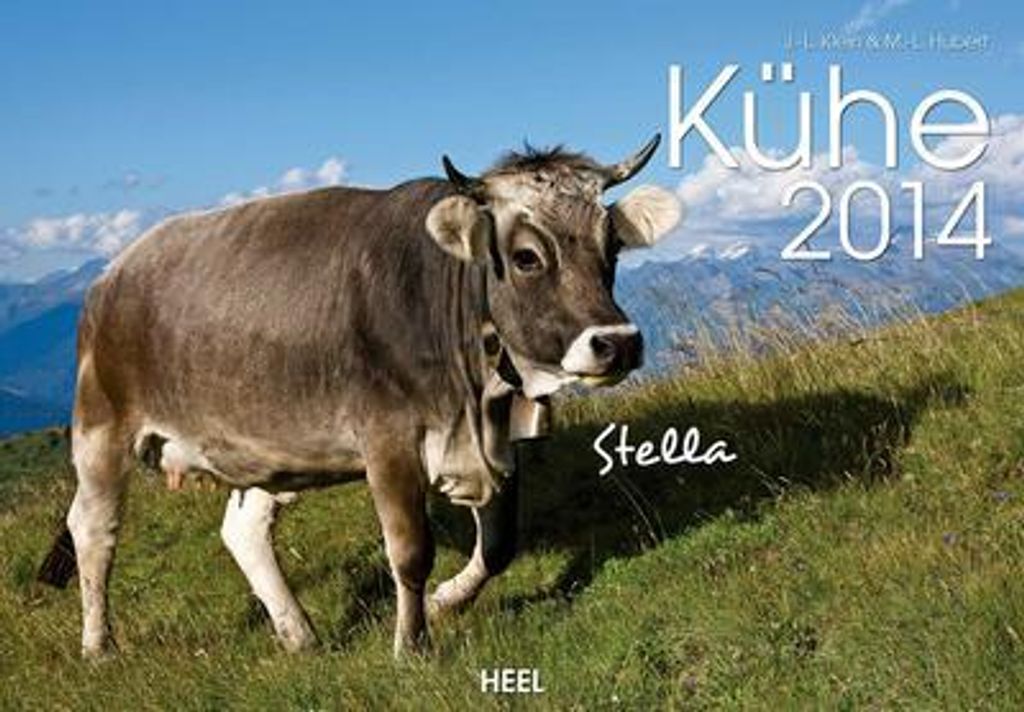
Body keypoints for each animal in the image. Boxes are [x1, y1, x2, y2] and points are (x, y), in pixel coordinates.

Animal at [38, 135, 682, 659]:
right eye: (526, 256)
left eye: (612, 249)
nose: (617, 343)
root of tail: (112, 273)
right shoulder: (387, 439)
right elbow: (411, 551)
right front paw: (411, 646)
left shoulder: (494, 437)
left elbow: (499, 544)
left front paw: (446, 601)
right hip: (101, 426)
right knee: (92, 529)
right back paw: (99, 646)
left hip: (266, 447)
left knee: (243, 531)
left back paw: (299, 634)